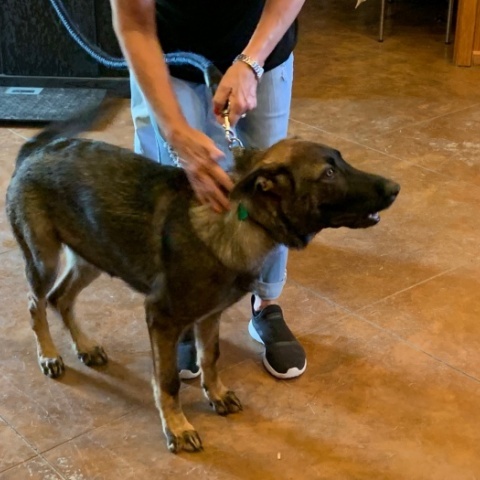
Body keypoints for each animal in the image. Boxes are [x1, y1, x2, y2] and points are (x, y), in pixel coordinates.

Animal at [6, 104, 399, 453]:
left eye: (342, 161)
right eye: (328, 174)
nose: (395, 187)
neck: (244, 216)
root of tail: (36, 150)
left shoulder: (210, 316)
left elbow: (211, 356)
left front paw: (217, 394)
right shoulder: (161, 318)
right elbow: (167, 381)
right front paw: (177, 428)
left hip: (94, 255)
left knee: (61, 298)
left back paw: (85, 346)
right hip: (44, 258)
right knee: (36, 303)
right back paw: (49, 354)